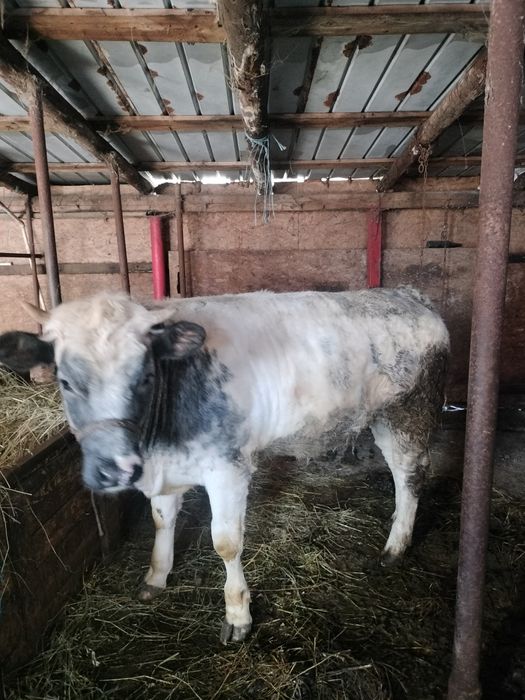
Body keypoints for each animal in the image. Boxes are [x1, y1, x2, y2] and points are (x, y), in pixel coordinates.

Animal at [7, 287, 449, 643]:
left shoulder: (228, 470)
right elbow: (161, 520)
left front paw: (238, 614)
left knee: (409, 476)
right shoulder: (167, 471)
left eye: (145, 376)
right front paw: (156, 576)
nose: (116, 469)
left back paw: (395, 546)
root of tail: (407, 294)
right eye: (65, 381)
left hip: (407, 414)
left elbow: (225, 542)